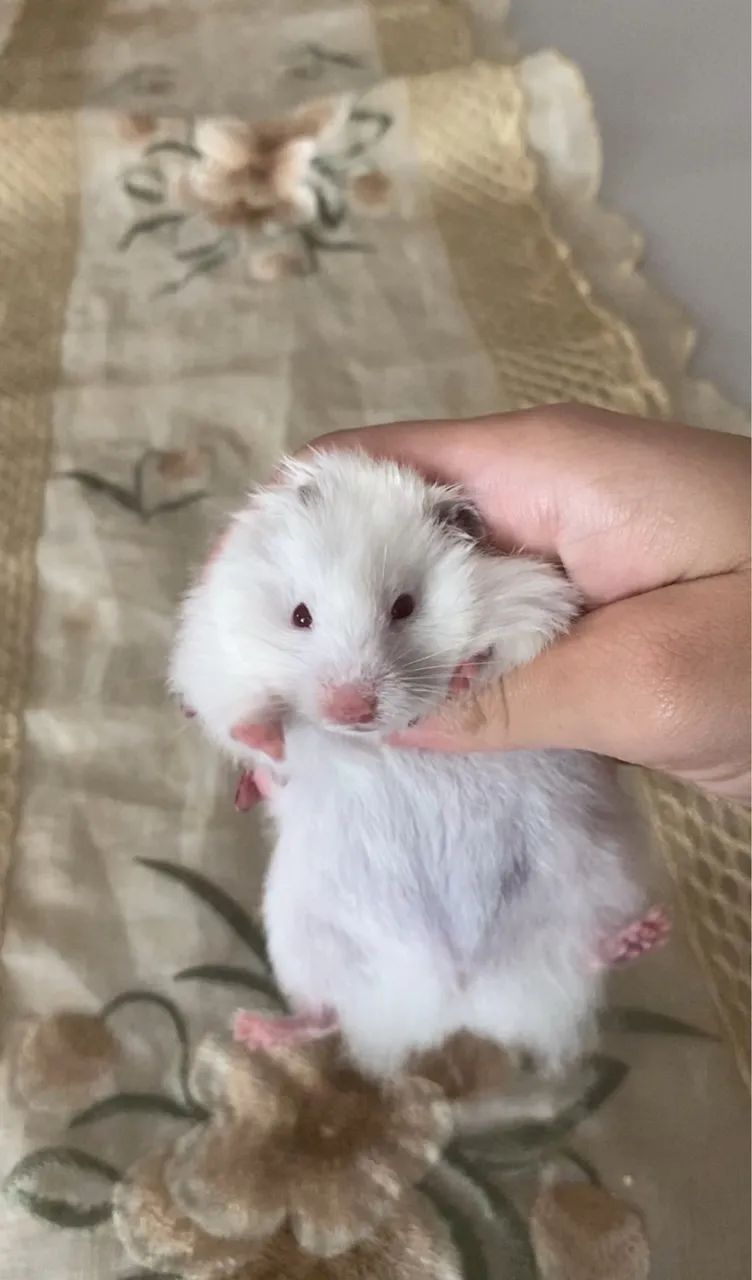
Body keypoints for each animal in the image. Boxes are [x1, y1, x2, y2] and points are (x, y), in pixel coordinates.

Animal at [170, 450, 649, 1077]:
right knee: (326, 1012)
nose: (349, 708)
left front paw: (463, 676)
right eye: (300, 616)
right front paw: (272, 742)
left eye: (404, 607)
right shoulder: (212, 649)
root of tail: (454, 998)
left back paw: (640, 936)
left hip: (597, 873)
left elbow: (509, 642)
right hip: (301, 931)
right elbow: (236, 711)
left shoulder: (533, 597)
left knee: (586, 952)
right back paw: (255, 1029)